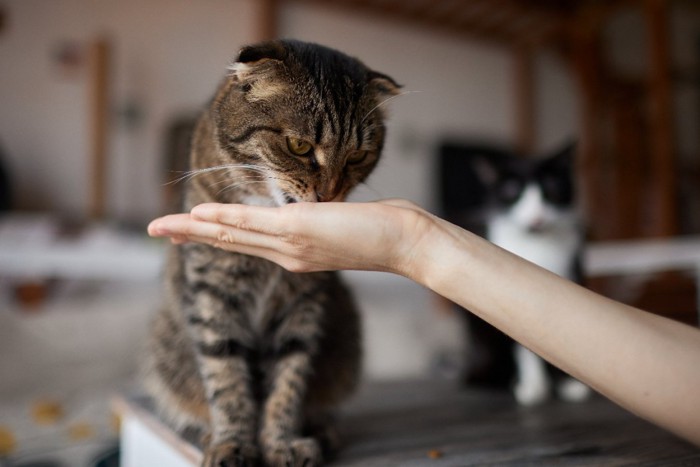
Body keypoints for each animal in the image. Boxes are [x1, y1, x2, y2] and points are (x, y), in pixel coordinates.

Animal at [144, 41, 400, 467]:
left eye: (356, 157)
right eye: (299, 146)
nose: (329, 195)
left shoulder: (305, 303)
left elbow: (289, 380)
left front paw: (282, 444)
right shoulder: (214, 292)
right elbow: (225, 376)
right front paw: (233, 444)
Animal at [460, 143, 592, 406]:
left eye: (552, 186)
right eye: (512, 190)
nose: (537, 217)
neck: (537, 245)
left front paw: (569, 385)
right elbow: (523, 345)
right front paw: (534, 387)